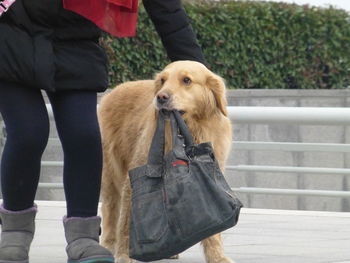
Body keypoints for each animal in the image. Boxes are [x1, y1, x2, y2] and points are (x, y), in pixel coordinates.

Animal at [98, 60, 234, 262]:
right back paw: (108, 245)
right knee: (111, 210)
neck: (189, 128)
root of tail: (115, 90)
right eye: (162, 80)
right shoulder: (134, 179)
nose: (161, 97)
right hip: (110, 173)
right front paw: (123, 255)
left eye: (186, 80)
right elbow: (126, 222)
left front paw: (217, 256)